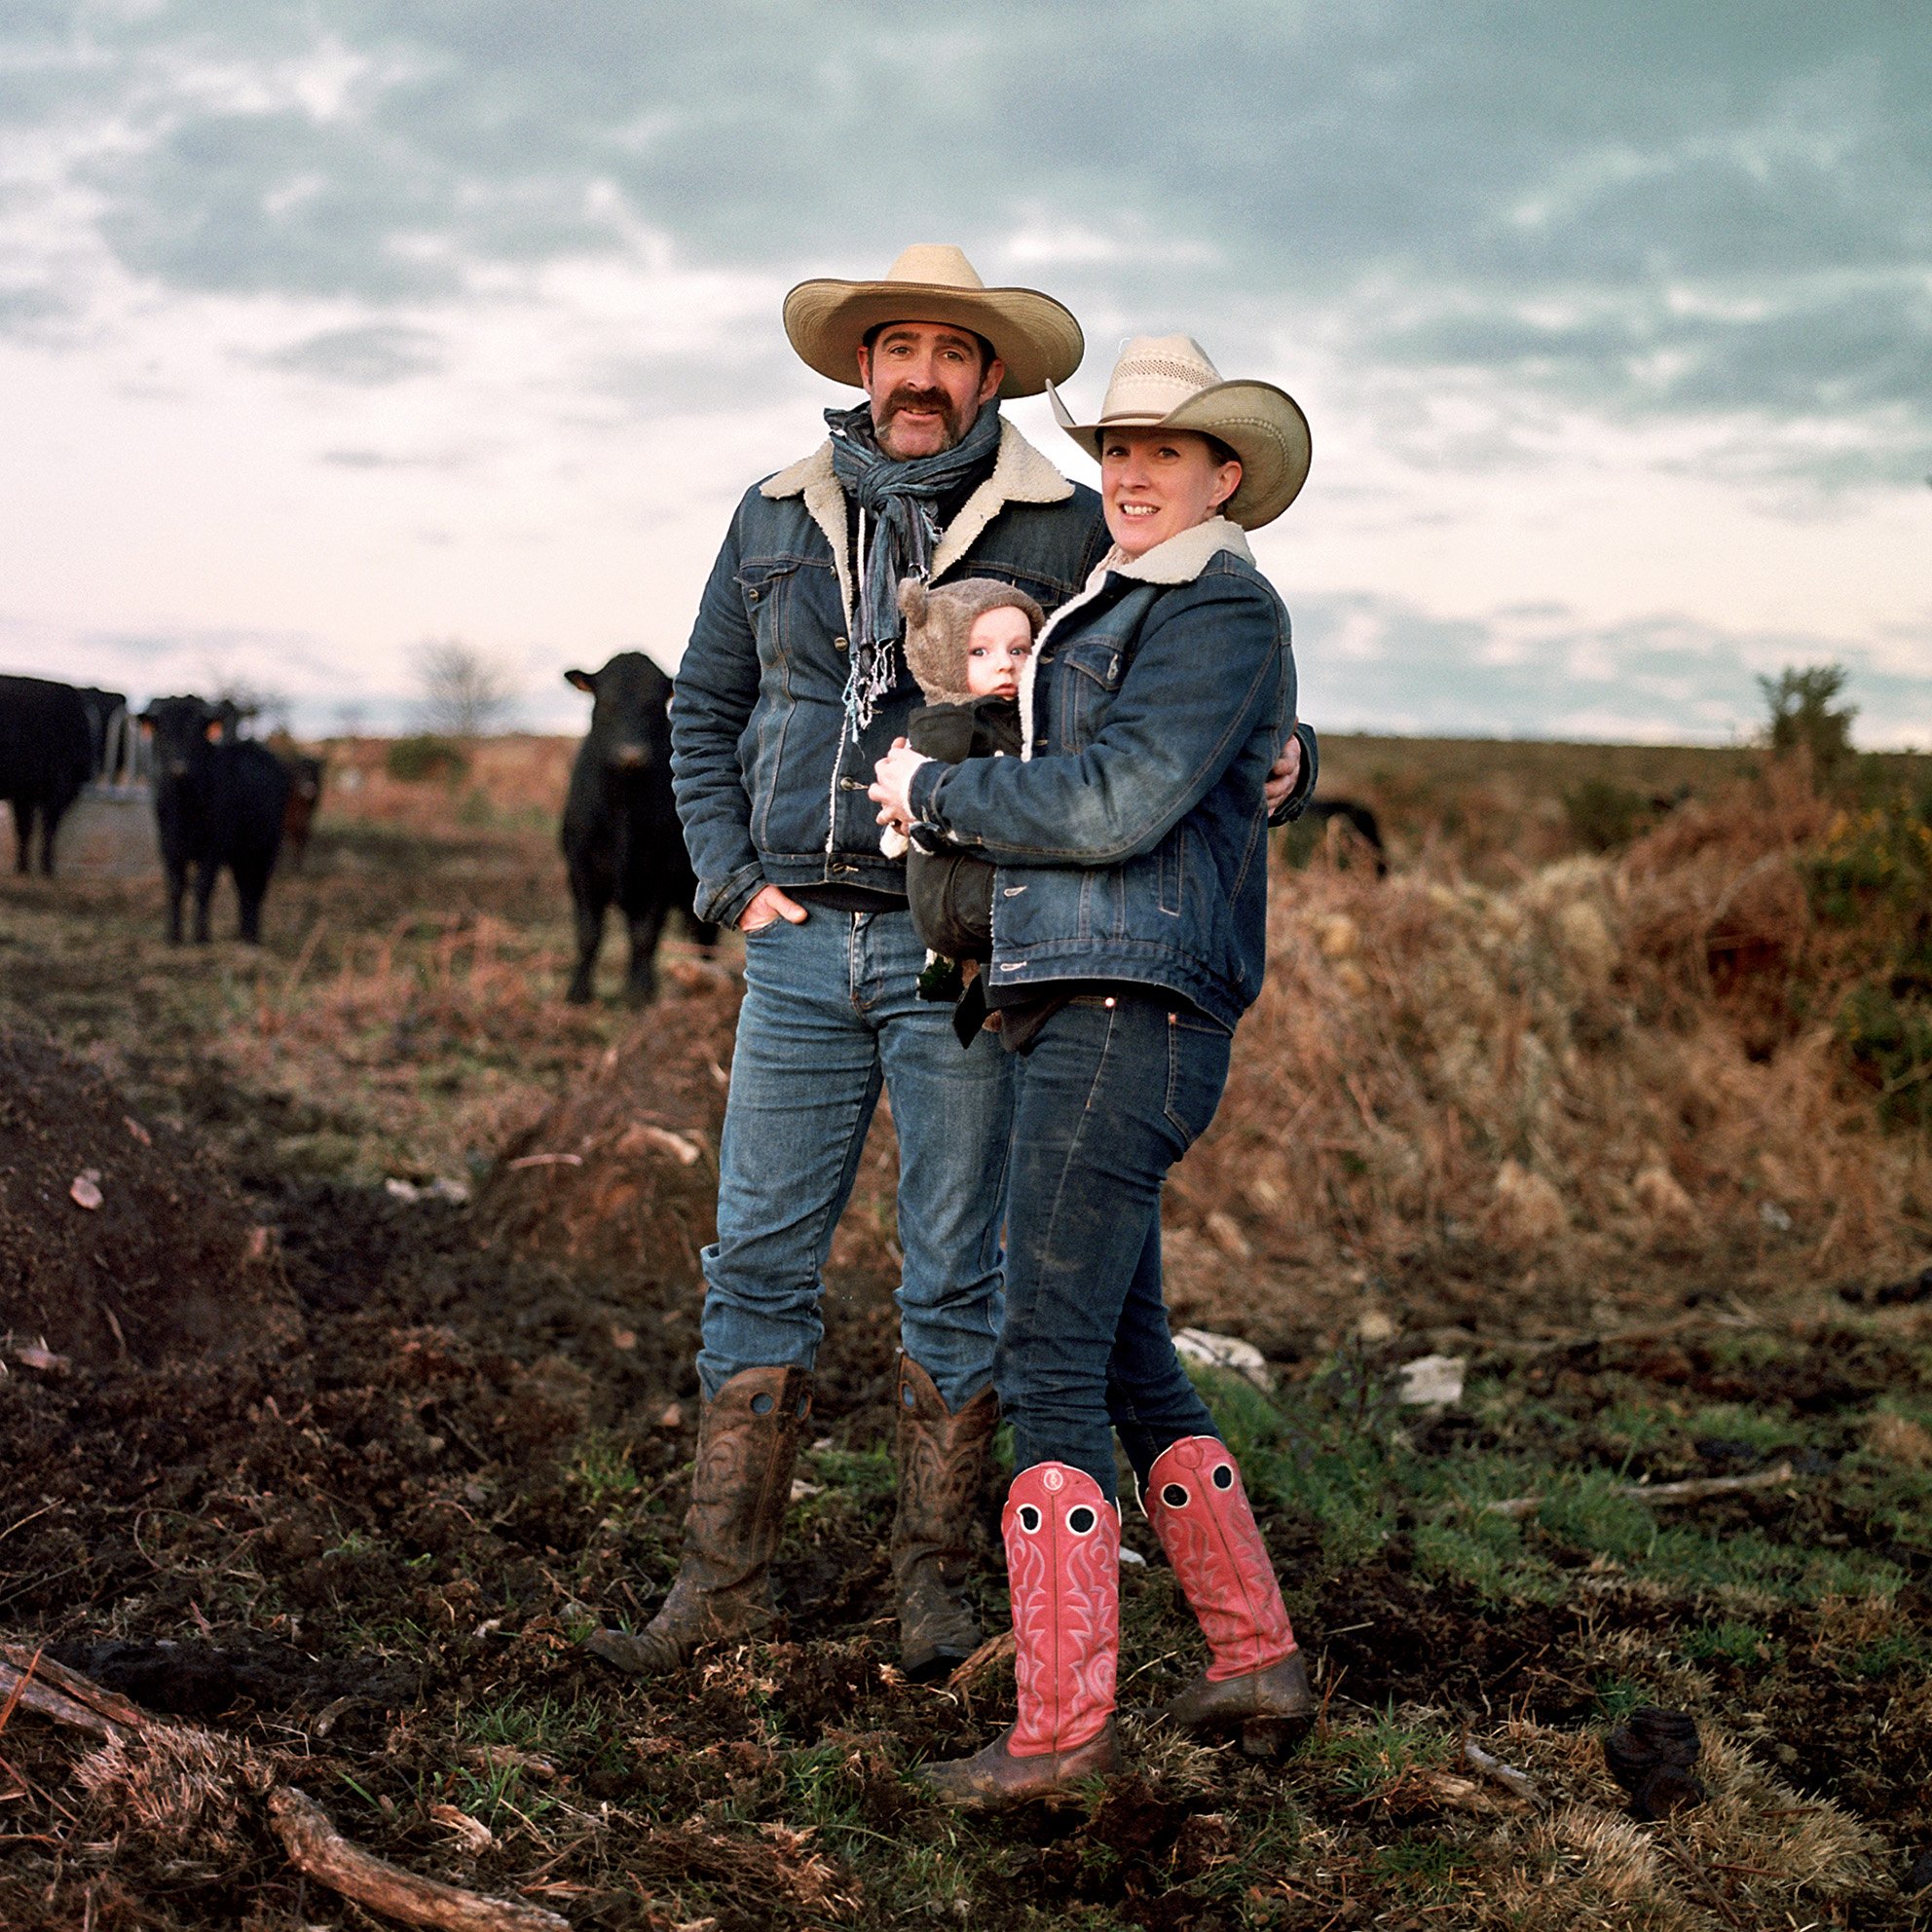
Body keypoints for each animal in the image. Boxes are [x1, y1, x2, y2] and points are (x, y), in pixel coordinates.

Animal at [0, 672, 93, 869]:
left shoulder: (24, 794)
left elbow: (25, 829)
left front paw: (22, 865)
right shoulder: (58, 789)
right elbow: (48, 829)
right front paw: (47, 866)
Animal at [141, 695, 293, 943]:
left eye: (196, 736)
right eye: (162, 734)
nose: (178, 768)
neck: (185, 807)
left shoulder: (213, 847)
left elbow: (203, 886)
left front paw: (201, 936)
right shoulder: (168, 844)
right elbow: (175, 887)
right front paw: (173, 936)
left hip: (266, 847)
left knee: (257, 888)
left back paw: (252, 937)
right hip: (240, 853)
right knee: (244, 888)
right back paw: (242, 933)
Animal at [564, 656, 723, 1004]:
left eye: (654, 705)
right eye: (607, 703)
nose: (631, 755)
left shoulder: (660, 871)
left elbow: (645, 935)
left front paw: (639, 994)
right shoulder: (581, 868)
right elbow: (588, 934)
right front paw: (578, 992)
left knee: (704, 937)